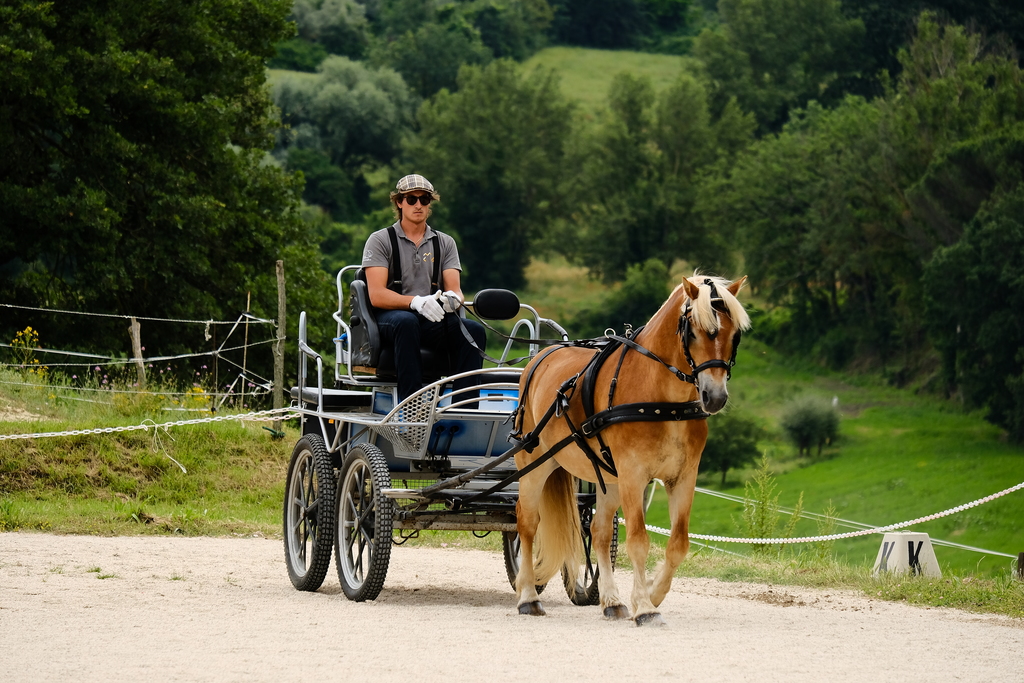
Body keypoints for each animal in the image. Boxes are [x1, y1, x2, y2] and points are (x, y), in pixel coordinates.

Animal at [512, 273, 750, 626]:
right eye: (694, 331)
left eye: (734, 334)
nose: (715, 397)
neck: (665, 404)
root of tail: (538, 360)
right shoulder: (634, 476)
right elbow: (638, 540)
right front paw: (647, 607)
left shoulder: (683, 477)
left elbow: (678, 543)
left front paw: (651, 593)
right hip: (536, 463)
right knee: (527, 524)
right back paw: (528, 596)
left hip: (608, 478)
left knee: (597, 531)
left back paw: (611, 601)